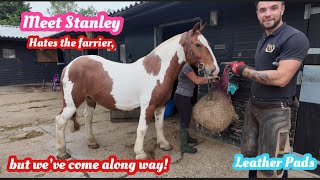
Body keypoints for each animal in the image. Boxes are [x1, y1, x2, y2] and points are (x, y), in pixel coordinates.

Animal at [55, 22, 220, 159]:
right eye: (197, 44)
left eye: (209, 43)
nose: (214, 70)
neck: (156, 71)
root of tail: (68, 66)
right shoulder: (148, 106)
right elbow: (142, 128)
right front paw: (140, 153)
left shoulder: (161, 105)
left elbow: (159, 125)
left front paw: (164, 144)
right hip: (71, 104)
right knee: (60, 121)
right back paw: (62, 152)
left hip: (90, 100)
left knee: (87, 117)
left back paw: (92, 142)